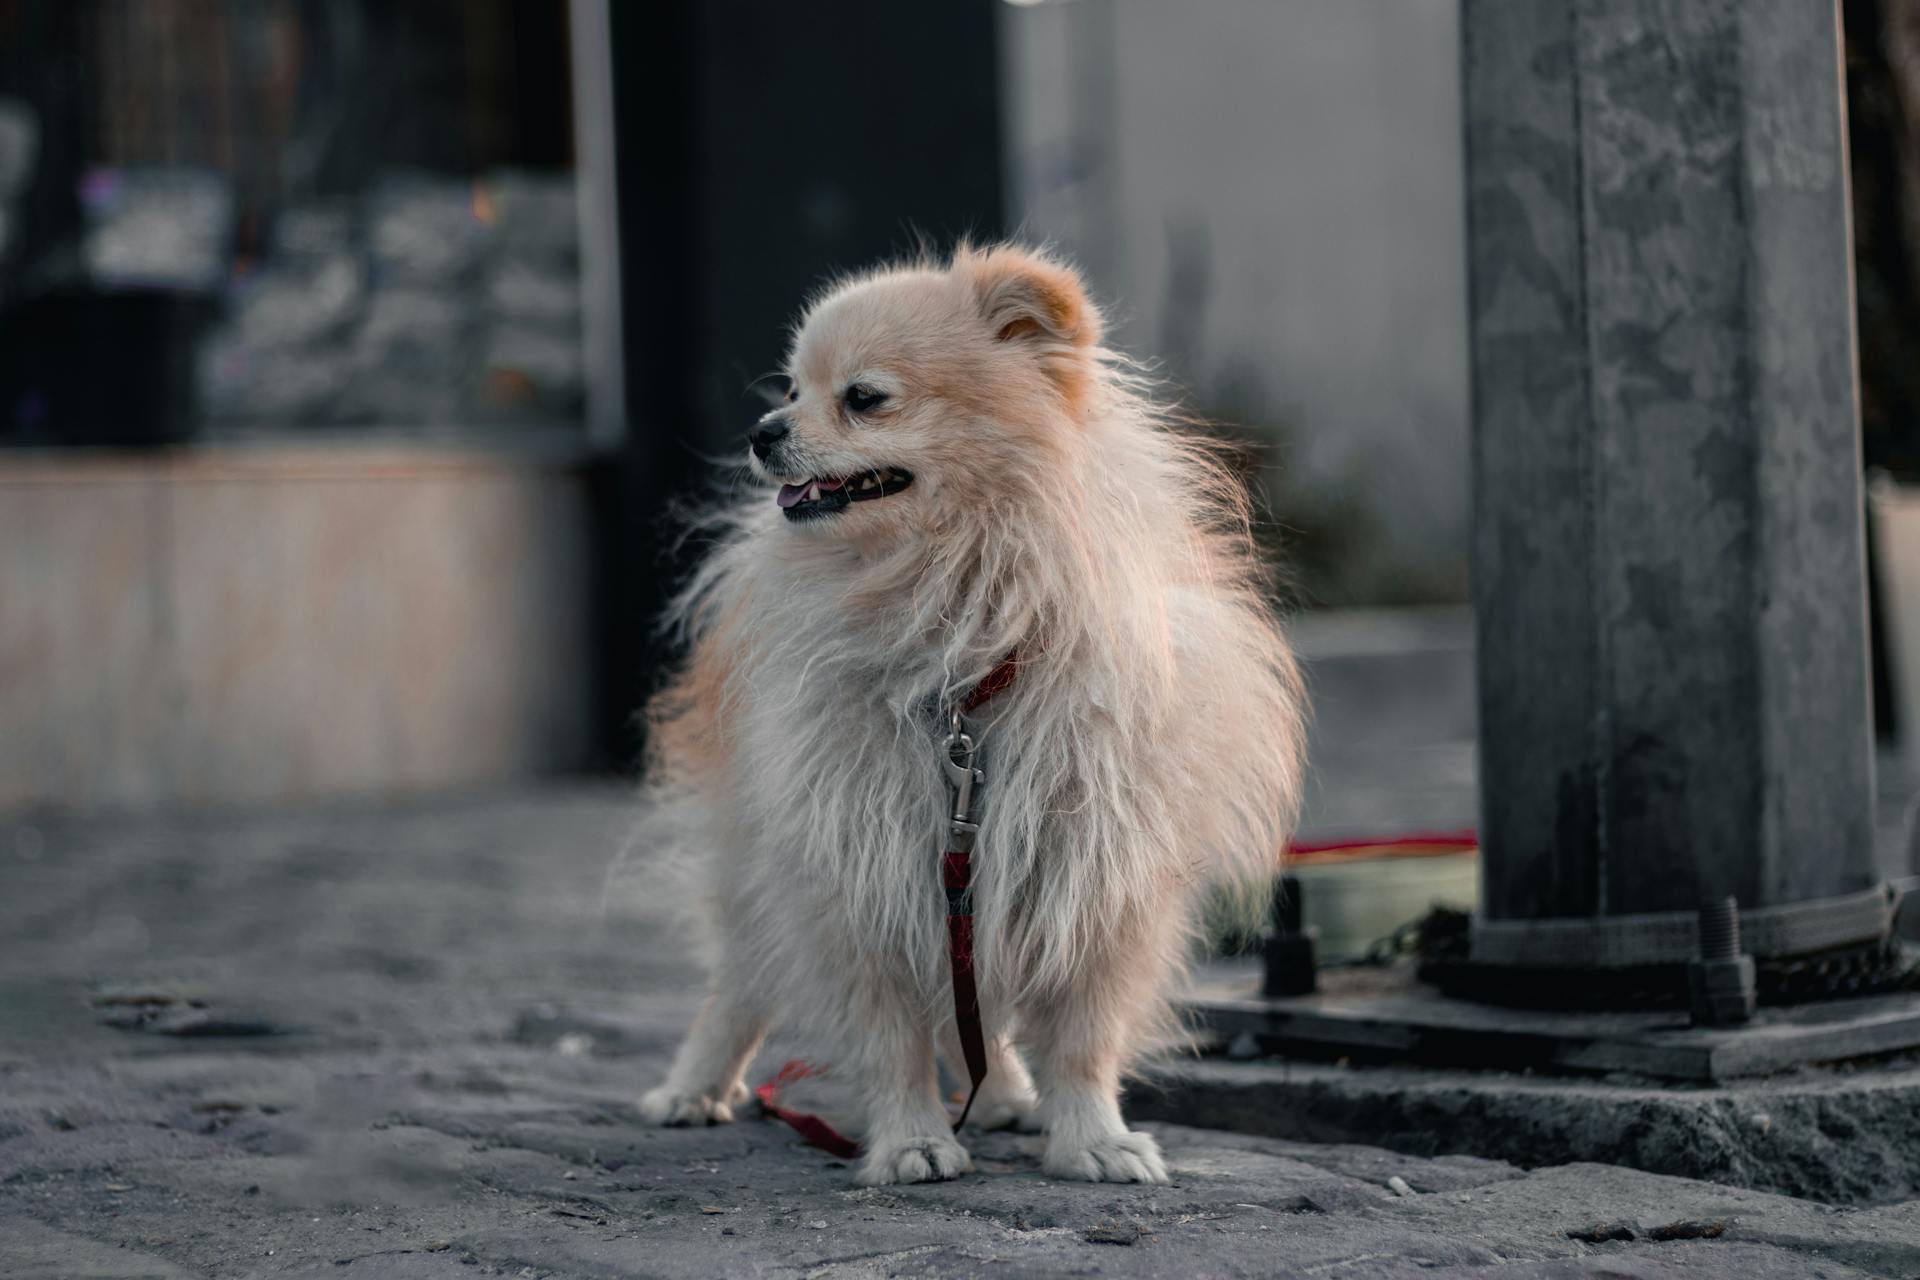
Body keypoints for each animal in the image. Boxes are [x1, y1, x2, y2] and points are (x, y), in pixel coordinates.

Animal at [633, 245, 1305, 1189]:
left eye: (863, 396)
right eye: (792, 388)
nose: (763, 429)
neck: (960, 645)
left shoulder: (1095, 874)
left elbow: (1082, 1040)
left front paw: (1091, 1137)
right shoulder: (858, 876)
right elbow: (893, 1041)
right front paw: (912, 1138)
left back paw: (1006, 1096)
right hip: (759, 865)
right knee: (739, 984)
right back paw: (693, 1087)